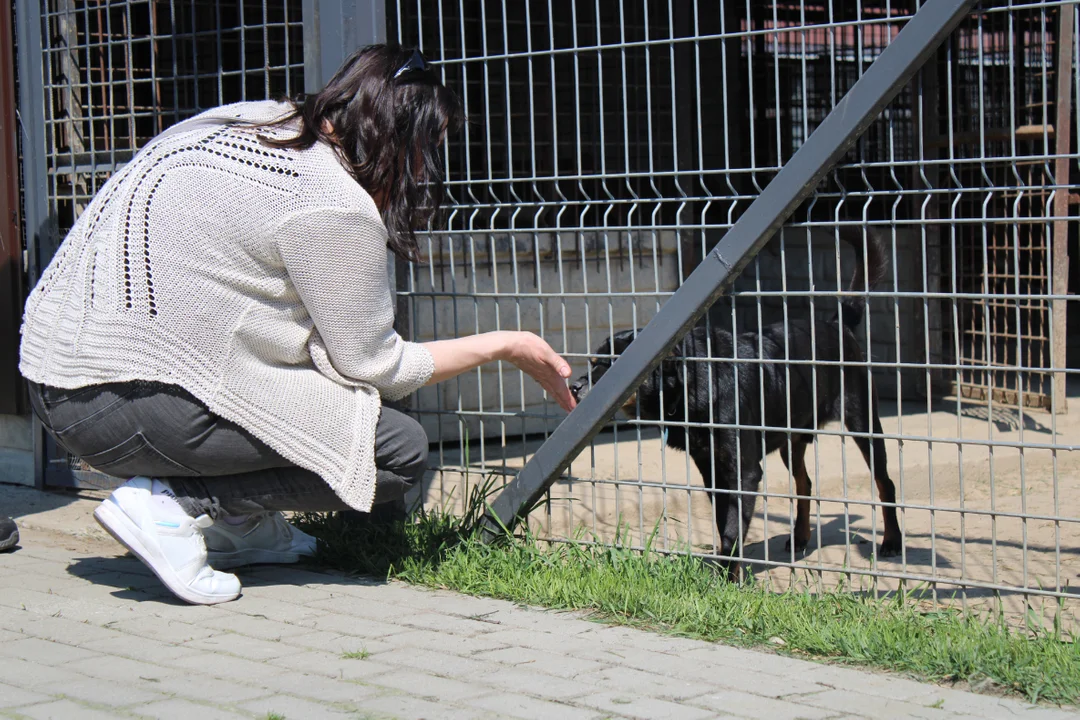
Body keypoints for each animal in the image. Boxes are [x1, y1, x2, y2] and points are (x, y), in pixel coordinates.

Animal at [570, 227, 907, 578]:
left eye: (609, 367)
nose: (573, 386)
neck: (694, 386)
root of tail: (836, 325)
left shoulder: (743, 472)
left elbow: (733, 526)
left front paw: (732, 576)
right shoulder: (711, 470)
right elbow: (723, 522)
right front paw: (724, 569)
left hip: (863, 422)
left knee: (885, 483)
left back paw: (892, 541)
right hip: (791, 440)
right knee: (804, 482)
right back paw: (800, 537)